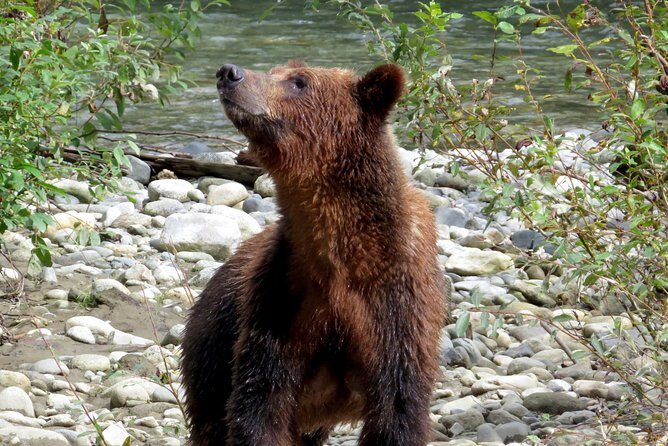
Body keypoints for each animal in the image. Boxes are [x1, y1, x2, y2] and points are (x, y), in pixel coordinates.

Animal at [181, 60, 448, 446]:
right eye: (276, 71)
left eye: (299, 82)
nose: (230, 73)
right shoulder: (283, 296)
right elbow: (259, 403)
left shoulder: (396, 304)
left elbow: (397, 410)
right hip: (211, 349)